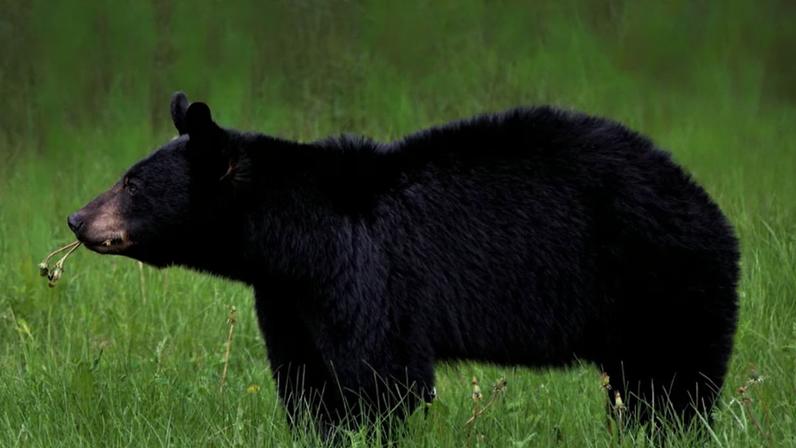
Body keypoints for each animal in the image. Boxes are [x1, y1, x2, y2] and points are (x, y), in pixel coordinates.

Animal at [68, 92, 739, 433]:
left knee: (670, 383)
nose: (76, 218)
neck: (291, 239)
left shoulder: (365, 272)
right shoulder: (286, 294)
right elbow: (306, 378)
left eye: (130, 182)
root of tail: (707, 205)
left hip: (661, 278)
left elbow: (380, 375)